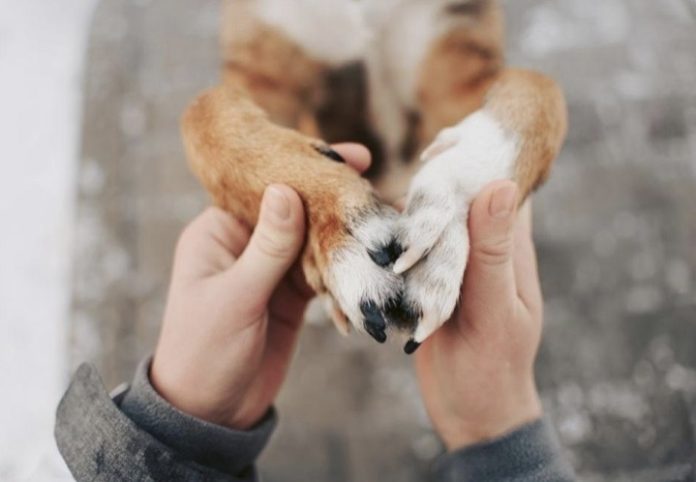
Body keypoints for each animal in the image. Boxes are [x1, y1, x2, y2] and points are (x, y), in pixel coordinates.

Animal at [179, 0, 564, 354]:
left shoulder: (457, 58)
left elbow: (541, 89)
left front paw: (444, 215)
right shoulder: (263, 68)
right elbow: (203, 113)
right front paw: (338, 220)